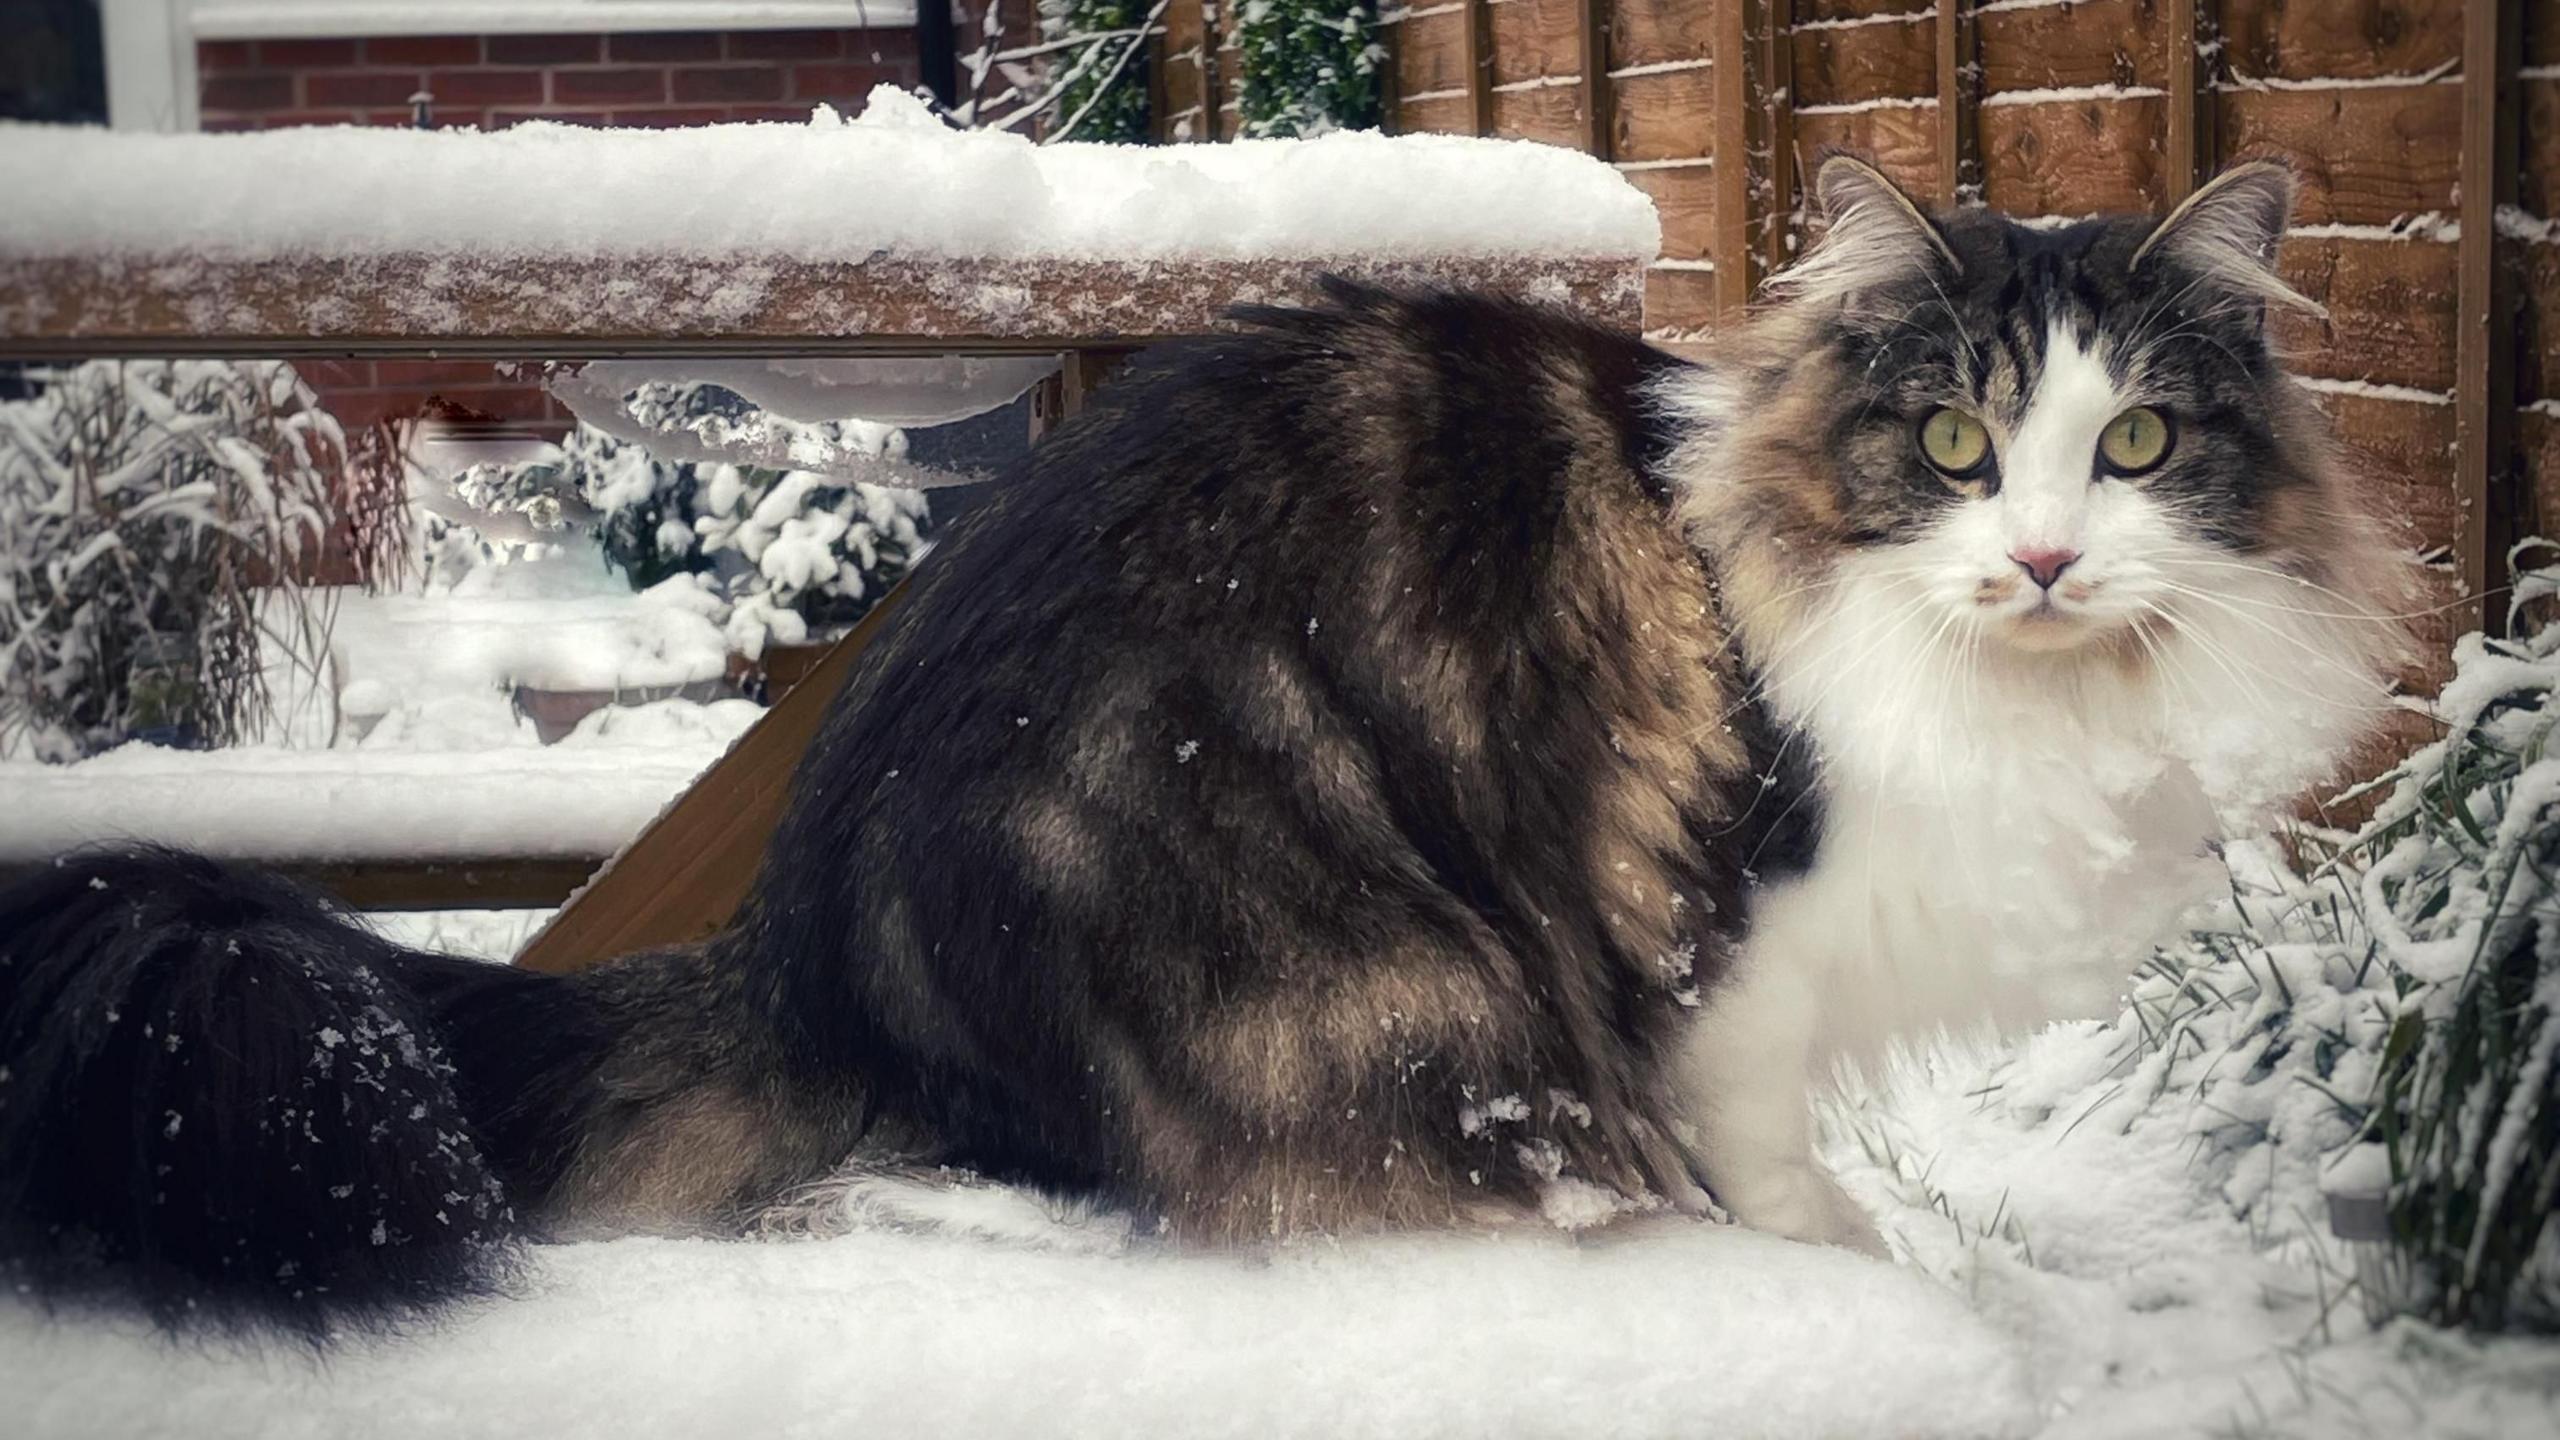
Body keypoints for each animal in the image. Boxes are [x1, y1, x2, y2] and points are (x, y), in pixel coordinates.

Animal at [0, 156, 2396, 1332]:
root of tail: (801, 932)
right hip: (1374, 975)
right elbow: (1776, 1170)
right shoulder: (1722, 964)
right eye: (1955, 444)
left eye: (2138, 444)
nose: (2046, 560)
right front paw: (1850, 1284)